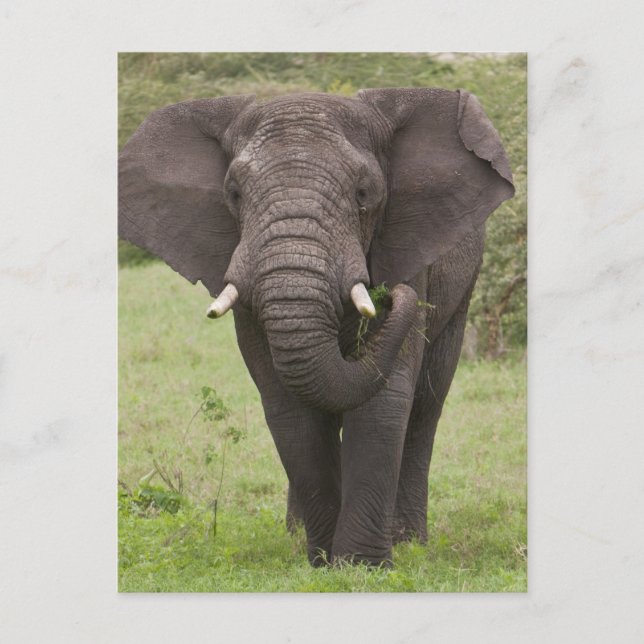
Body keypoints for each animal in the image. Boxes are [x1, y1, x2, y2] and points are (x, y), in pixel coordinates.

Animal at [118, 88, 514, 567]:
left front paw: (361, 566)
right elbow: (288, 406)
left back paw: (408, 540)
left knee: (426, 405)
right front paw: (324, 561)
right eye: (234, 194)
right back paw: (296, 533)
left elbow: (385, 400)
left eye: (364, 193)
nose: (392, 294)